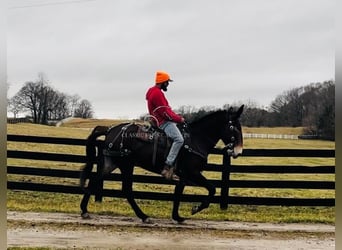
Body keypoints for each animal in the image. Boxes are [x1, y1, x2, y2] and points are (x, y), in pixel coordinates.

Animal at [80, 105, 244, 223]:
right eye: (233, 127)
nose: (238, 151)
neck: (196, 139)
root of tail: (110, 130)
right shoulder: (193, 172)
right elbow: (212, 189)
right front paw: (195, 208)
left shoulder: (184, 175)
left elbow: (178, 193)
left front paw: (177, 216)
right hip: (126, 165)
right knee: (126, 190)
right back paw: (144, 216)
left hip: (112, 163)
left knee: (95, 181)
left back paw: (84, 210)